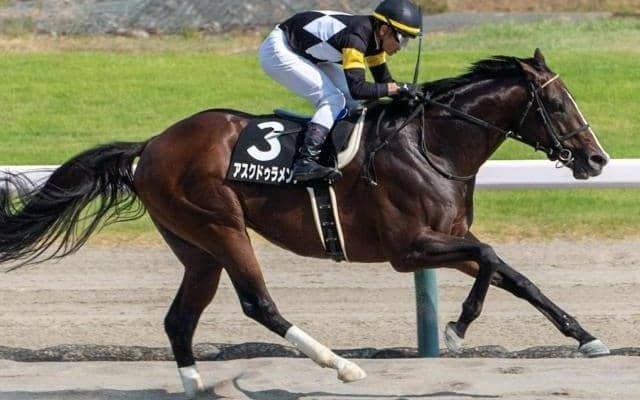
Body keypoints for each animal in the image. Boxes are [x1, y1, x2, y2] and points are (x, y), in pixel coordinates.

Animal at [0, 49, 610, 398]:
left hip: (194, 246)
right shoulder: (409, 249)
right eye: (558, 103)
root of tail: (150, 145)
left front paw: (586, 338)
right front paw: (458, 329)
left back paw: (197, 388)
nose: (597, 159)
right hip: (220, 225)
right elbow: (489, 258)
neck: (432, 143)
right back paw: (340, 365)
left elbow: (514, 273)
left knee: (179, 319)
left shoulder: (444, 240)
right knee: (257, 304)